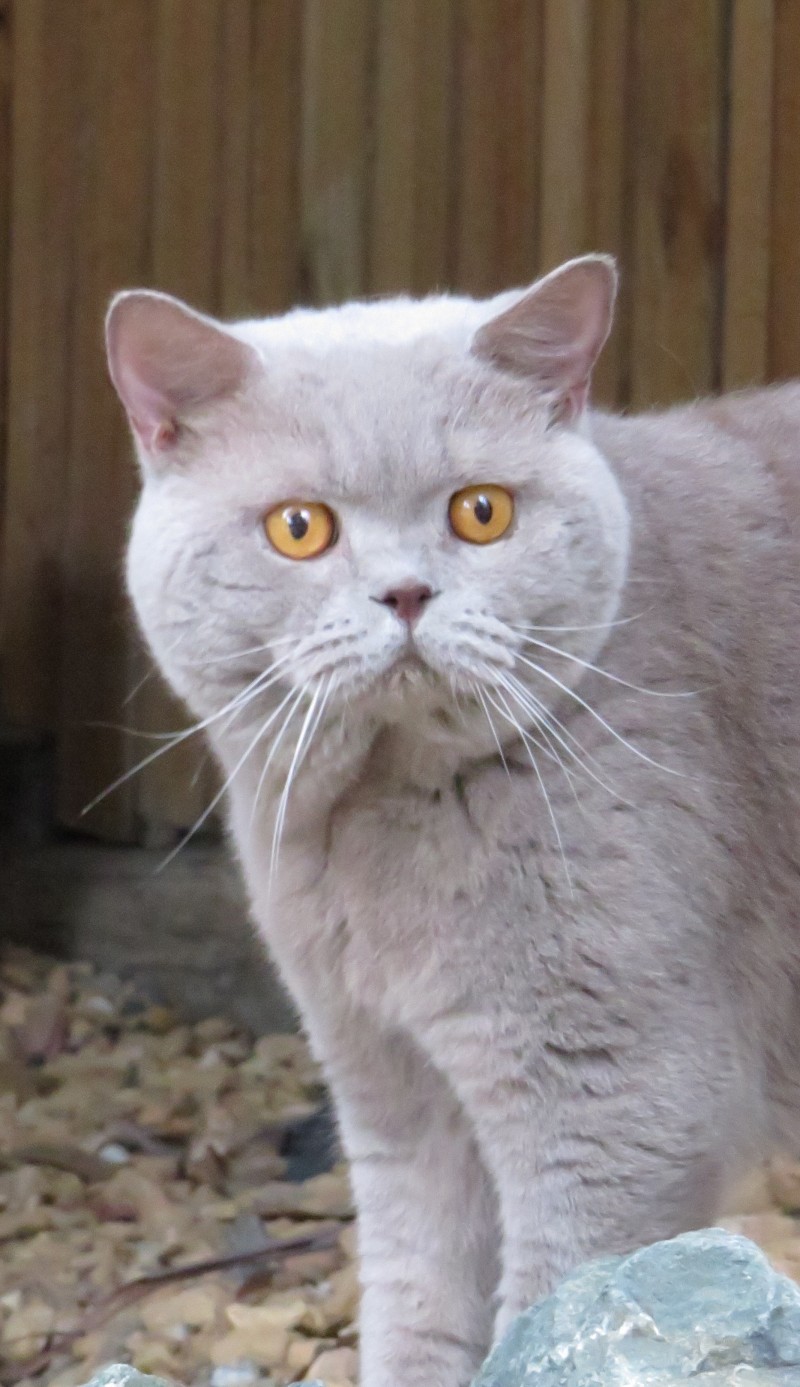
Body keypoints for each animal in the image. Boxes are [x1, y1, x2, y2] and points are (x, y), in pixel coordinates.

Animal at [104, 257, 800, 1387]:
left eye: (481, 512)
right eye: (299, 526)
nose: (404, 591)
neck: (376, 826)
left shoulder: (620, 1096)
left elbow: (552, 1298)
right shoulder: (385, 1080)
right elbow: (416, 1298)